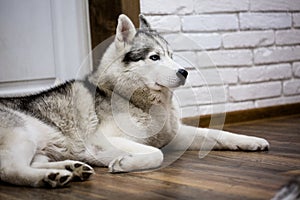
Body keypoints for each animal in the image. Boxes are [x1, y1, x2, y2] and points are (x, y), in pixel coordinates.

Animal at [0, 14, 270, 188]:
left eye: (171, 56)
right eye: (154, 57)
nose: (184, 72)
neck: (142, 102)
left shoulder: (174, 135)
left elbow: (218, 134)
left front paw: (251, 141)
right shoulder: (103, 142)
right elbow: (156, 153)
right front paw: (124, 163)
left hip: (42, 148)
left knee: (34, 163)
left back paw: (70, 169)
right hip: (23, 136)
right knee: (9, 170)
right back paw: (50, 178)